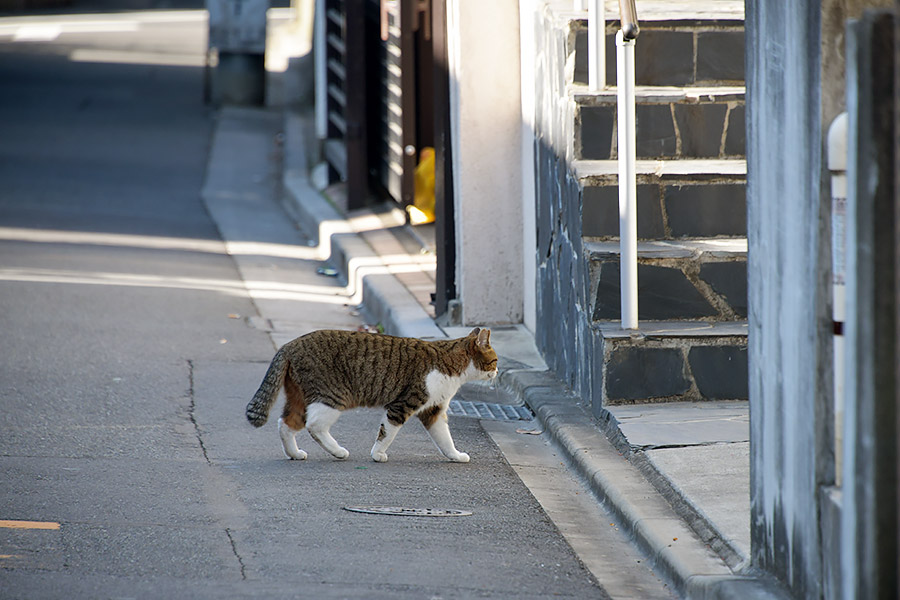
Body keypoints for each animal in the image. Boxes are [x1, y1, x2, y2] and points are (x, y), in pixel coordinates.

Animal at [246, 328, 500, 464]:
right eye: (495, 360)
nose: (498, 372)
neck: (452, 365)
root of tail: (290, 344)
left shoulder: (433, 411)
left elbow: (445, 439)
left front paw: (455, 456)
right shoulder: (402, 405)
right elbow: (387, 433)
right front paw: (378, 454)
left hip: (300, 397)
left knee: (286, 423)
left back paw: (295, 453)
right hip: (333, 396)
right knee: (314, 425)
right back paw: (338, 451)